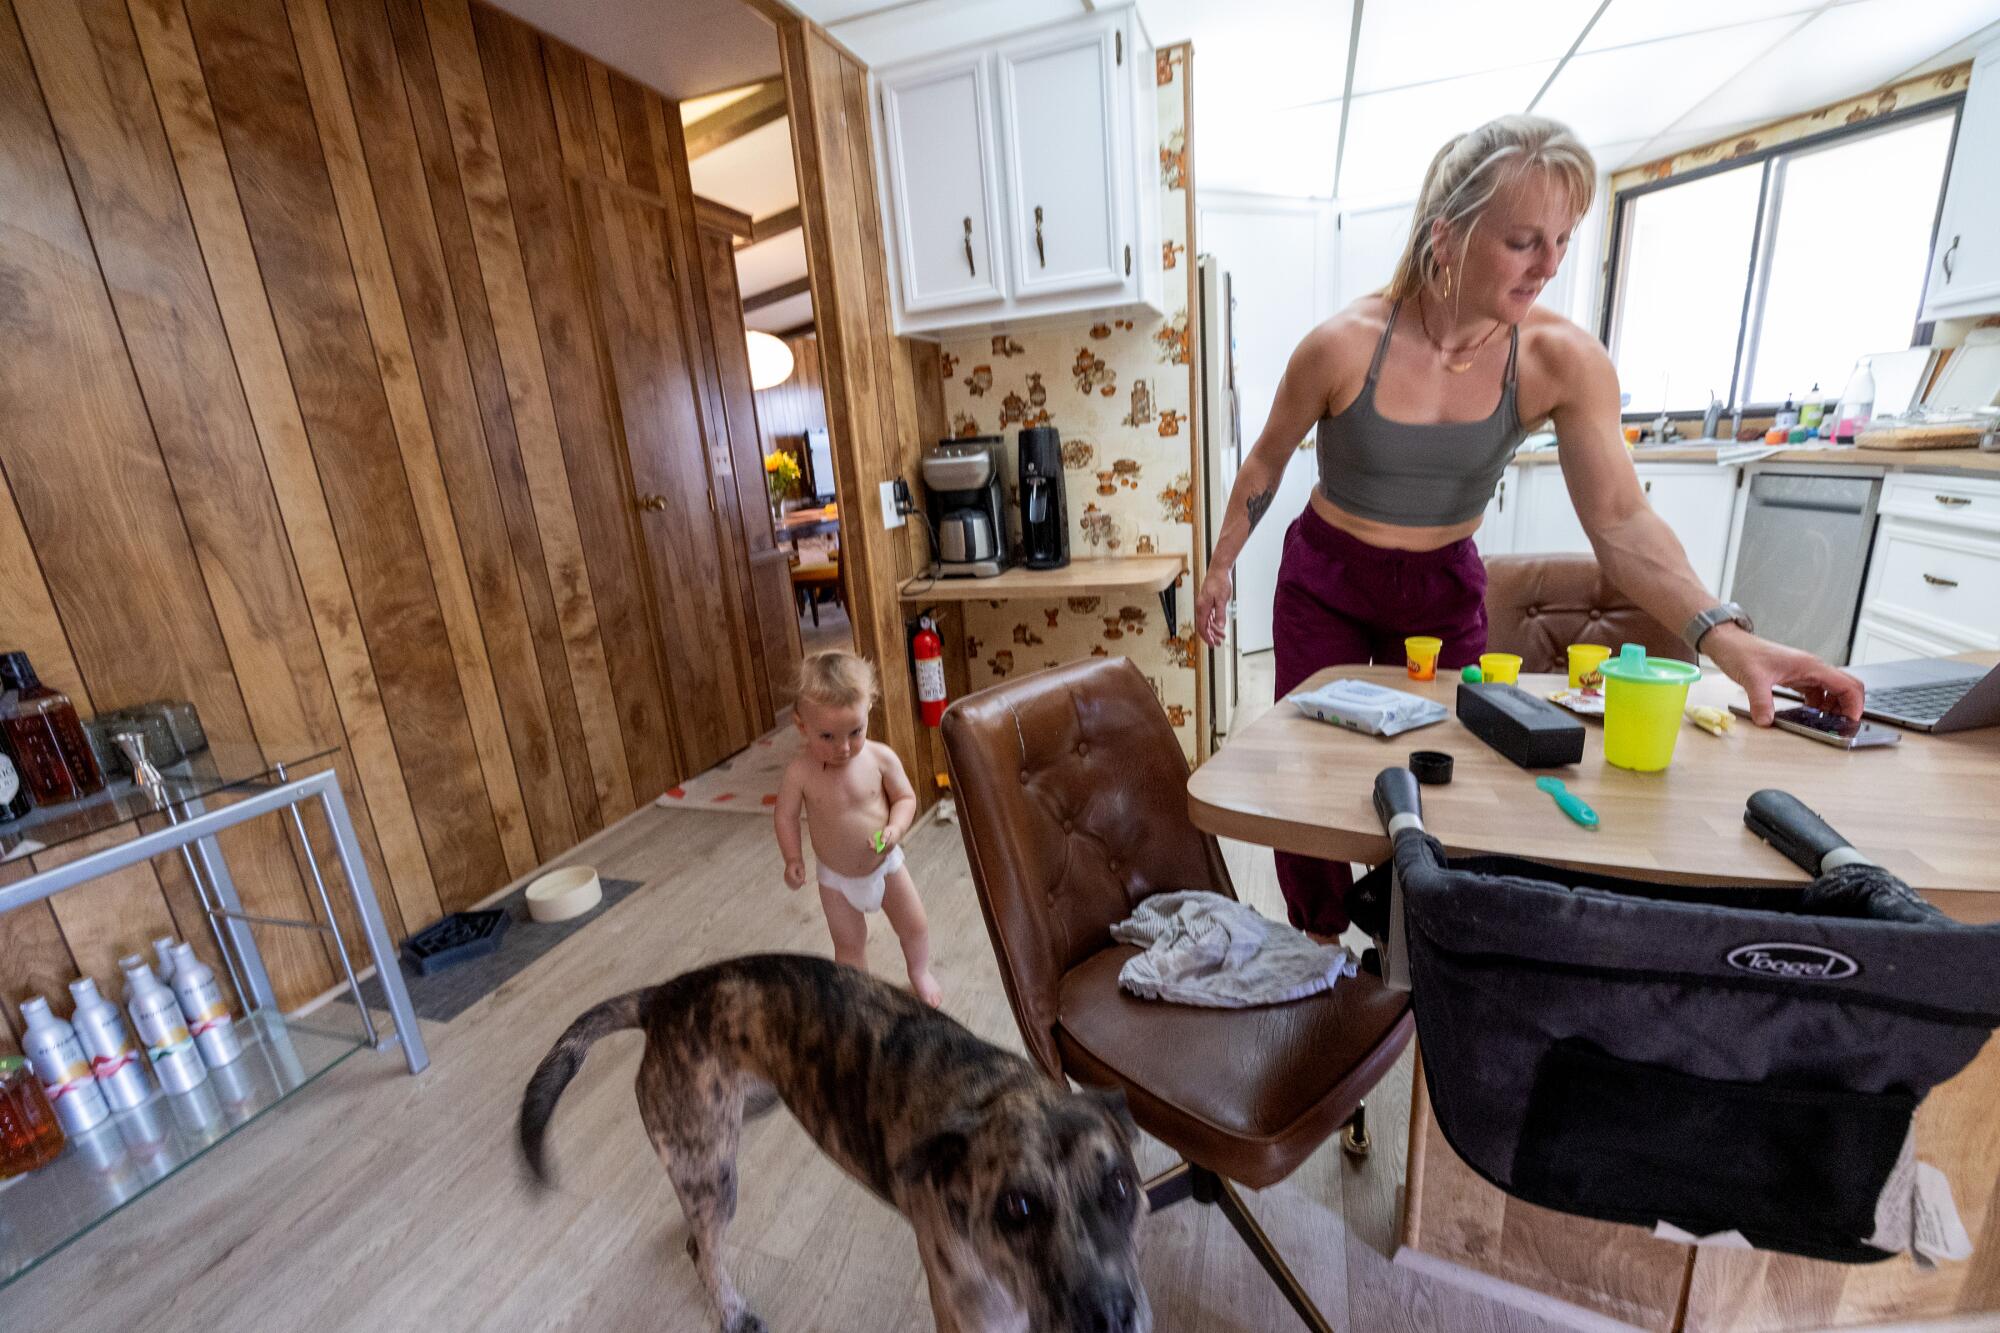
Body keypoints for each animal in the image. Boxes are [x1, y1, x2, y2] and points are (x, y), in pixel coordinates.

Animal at [524, 948, 1152, 1320]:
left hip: (736, 1127)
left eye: (1122, 1187)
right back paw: (731, 1311)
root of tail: (666, 995)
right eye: (1016, 1208)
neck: (991, 1094)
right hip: (713, 1163)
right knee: (707, 1250)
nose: (1110, 1317)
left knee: (698, 1237)